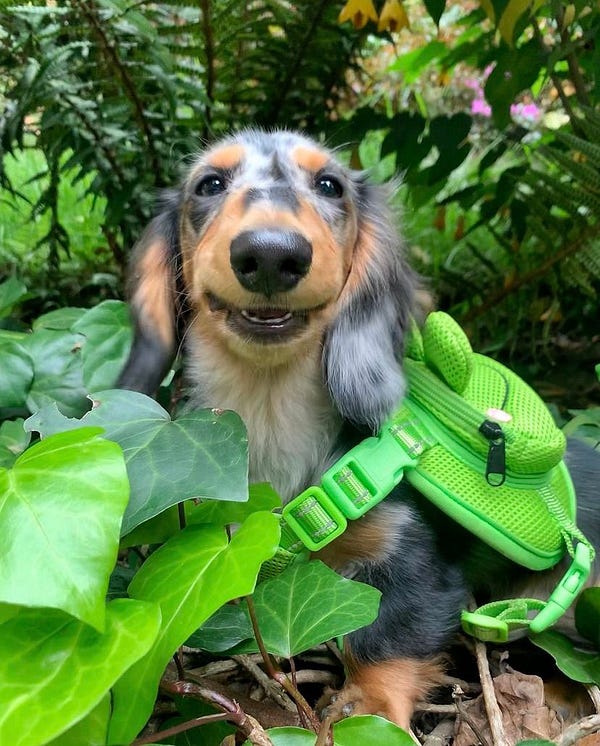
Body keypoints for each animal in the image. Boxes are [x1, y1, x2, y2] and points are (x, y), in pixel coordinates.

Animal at [117, 128, 600, 728]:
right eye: (209, 184)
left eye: (330, 185)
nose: (271, 254)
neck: (272, 410)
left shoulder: (412, 553)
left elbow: (385, 633)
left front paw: (367, 709)